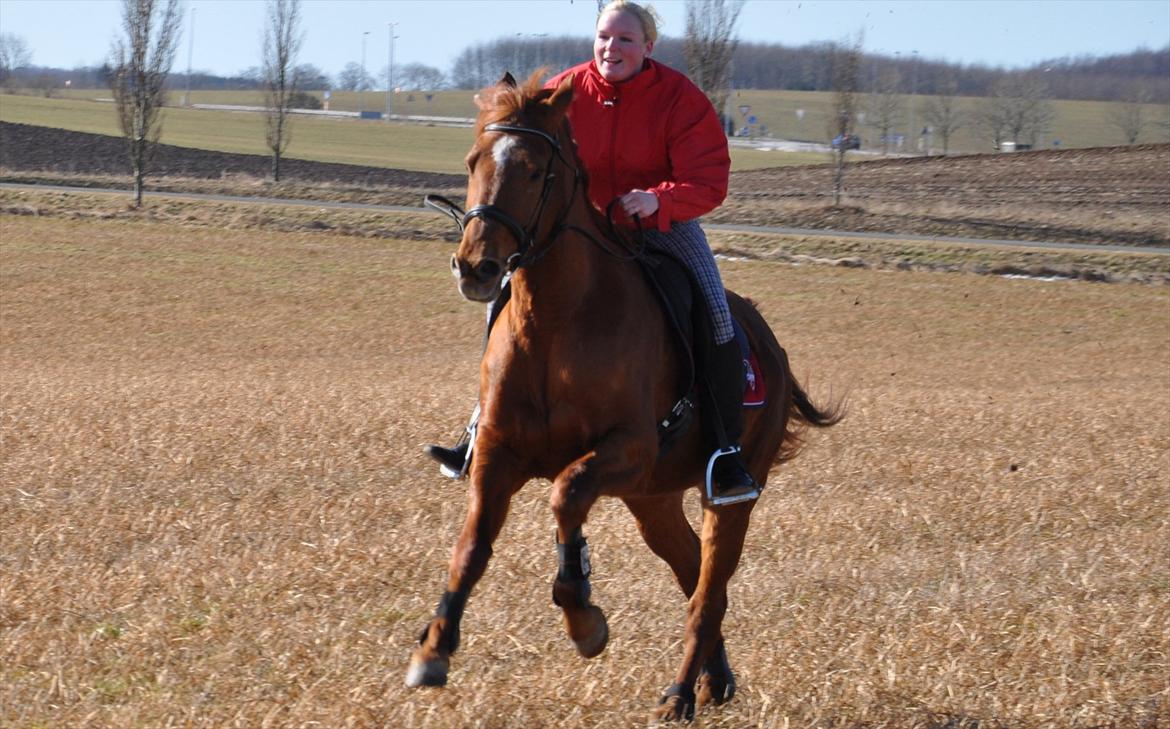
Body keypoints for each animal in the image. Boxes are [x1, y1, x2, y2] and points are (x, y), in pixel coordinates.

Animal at [407, 71, 837, 720]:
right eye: (473, 160)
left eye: (534, 169)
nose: (475, 266)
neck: (557, 320)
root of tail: (771, 347)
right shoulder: (498, 453)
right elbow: (472, 546)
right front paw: (434, 648)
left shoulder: (626, 449)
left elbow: (565, 496)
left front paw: (584, 618)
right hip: (651, 499)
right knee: (692, 573)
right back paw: (714, 680)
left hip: (726, 496)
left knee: (709, 591)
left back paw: (680, 694)